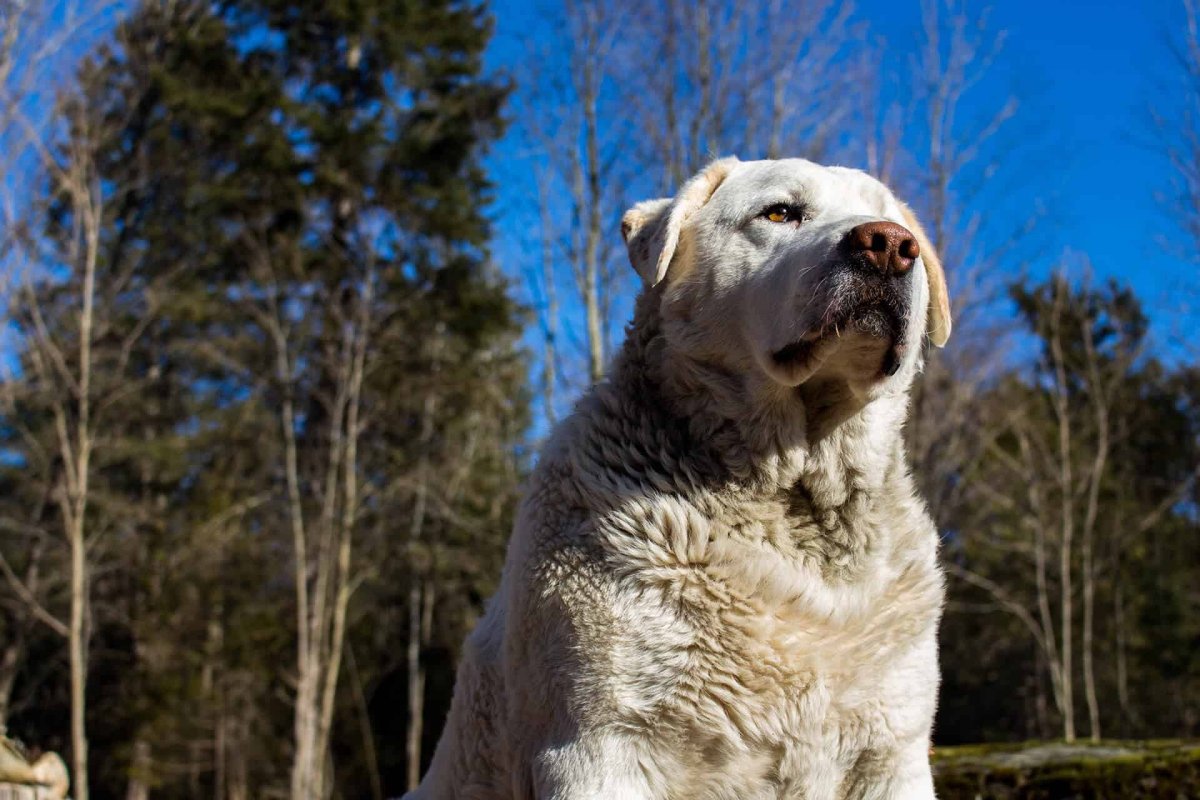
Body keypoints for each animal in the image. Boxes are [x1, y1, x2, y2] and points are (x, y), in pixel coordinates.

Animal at [412, 158, 955, 800]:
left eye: (899, 228)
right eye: (779, 212)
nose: (890, 245)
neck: (791, 487)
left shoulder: (893, 751)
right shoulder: (599, 745)